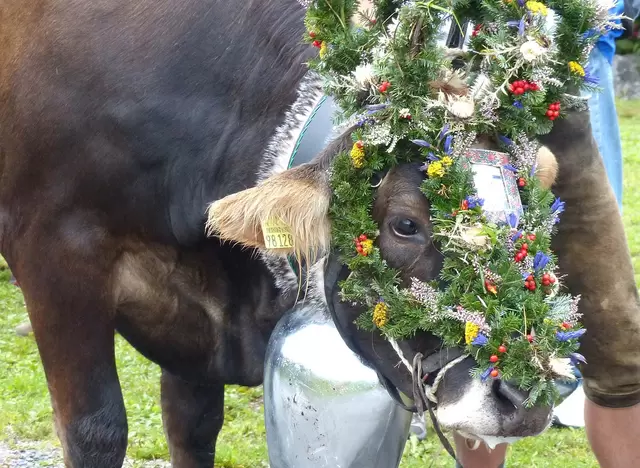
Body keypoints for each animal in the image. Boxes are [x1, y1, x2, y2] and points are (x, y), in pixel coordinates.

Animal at [1, 0, 640, 468]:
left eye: (533, 215)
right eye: (404, 224)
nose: (527, 396)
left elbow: (192, 424)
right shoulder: (57, 251)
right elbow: (97, 430)